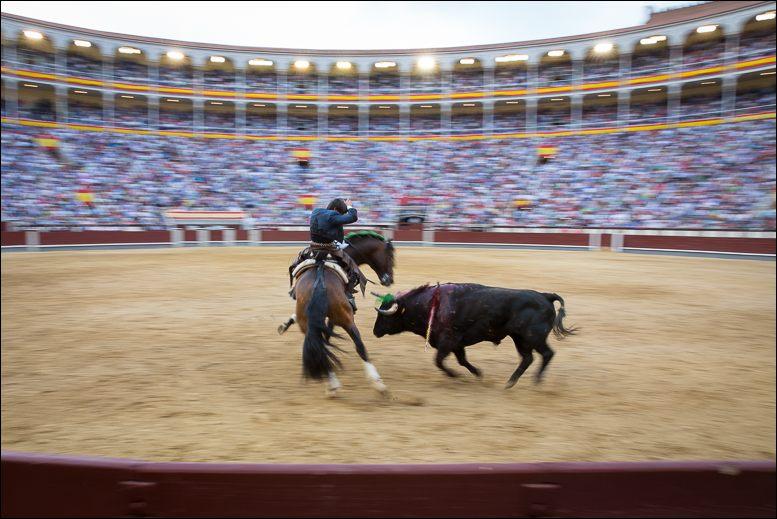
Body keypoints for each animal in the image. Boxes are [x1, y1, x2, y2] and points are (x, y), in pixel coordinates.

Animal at [294, 252, 388, 398]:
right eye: (389, 254)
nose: (387, 279)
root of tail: (319, 280)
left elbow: (326, 341)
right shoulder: (332, 320)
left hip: (307, 324)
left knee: (322, 348)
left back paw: (332, 385)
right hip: (346, 319)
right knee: (359, 345)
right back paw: (377, 384)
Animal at [376, 282, 576, 388]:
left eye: (384, 316)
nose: (375, 331)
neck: (431, 305)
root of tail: (545, 296)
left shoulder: (447, 342)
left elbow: (439, 361)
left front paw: (454, 375)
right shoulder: (456, 345)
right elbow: (462, 360)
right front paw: (478, 373)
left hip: (533, 337)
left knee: (546, 354)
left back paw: (536, 380)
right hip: (519, 338)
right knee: (528, 358)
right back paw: (510, 382)